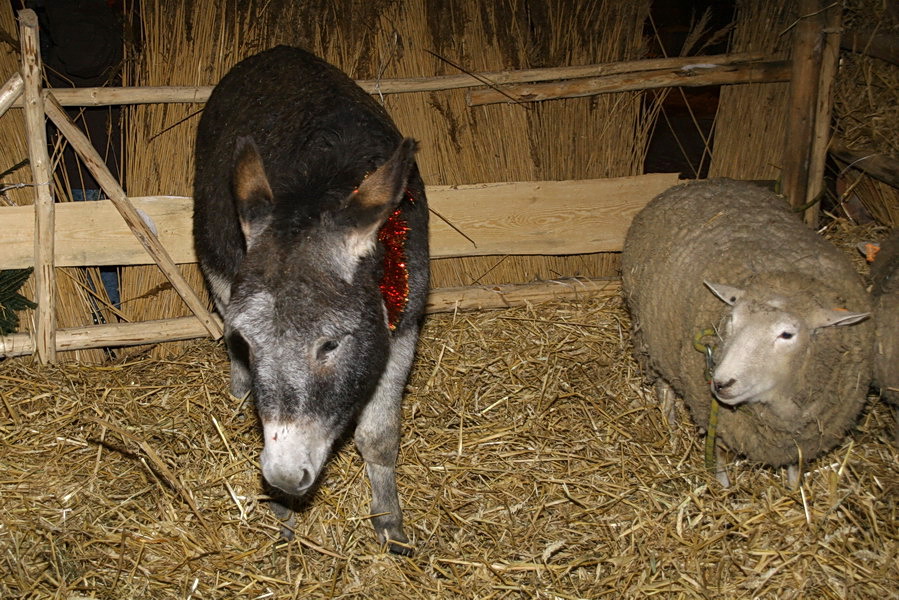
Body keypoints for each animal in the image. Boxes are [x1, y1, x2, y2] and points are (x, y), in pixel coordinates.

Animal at [624, 178, 876, 488]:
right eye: (731, 320)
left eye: (787, 334)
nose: (721, 383)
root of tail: (697, 183)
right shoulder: (717, 417)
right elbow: (719, 459)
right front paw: (722, 489)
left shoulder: (801, 438)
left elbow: (795, 464)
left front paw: (793, 489)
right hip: (650, 339)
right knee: (664, 387)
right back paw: (669, 424)